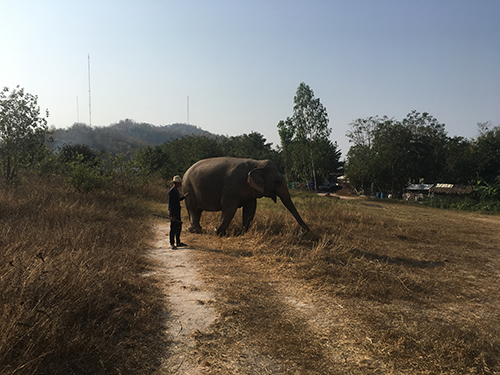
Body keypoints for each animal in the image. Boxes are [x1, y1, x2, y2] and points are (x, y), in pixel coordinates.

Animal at [182, 156, 310, 235]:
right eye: (277, 181)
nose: (308, 231)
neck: (257, 163)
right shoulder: (232, 187)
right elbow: (228, 208)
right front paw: (218, 232)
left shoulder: (250, 192)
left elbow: (250, 210)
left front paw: (242, 233)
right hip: (188, 189)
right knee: (193, 209)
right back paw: (196, 231)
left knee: (197, 210)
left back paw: (197, 229)